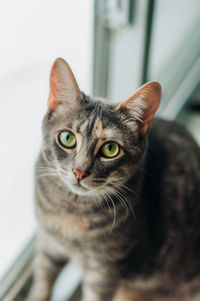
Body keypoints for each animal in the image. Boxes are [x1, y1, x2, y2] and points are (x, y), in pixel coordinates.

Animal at [27, 56, 200, 300]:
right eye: (67, 138)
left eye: (110, 149)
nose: (80, 172)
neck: (71, 212)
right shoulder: (48, 245)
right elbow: (41, 285)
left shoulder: (104, 272)